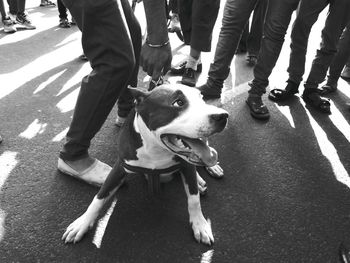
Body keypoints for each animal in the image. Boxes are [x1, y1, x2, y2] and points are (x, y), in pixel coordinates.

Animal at [61, 85, 228, 248]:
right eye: (178, 103)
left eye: (202, 98)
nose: (223, 116)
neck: (156, 149)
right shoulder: (119, 168)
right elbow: (98, 198)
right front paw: (82, 223)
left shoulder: (186, 166)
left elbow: (194, 200)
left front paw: (200, 224)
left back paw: (207, 173)